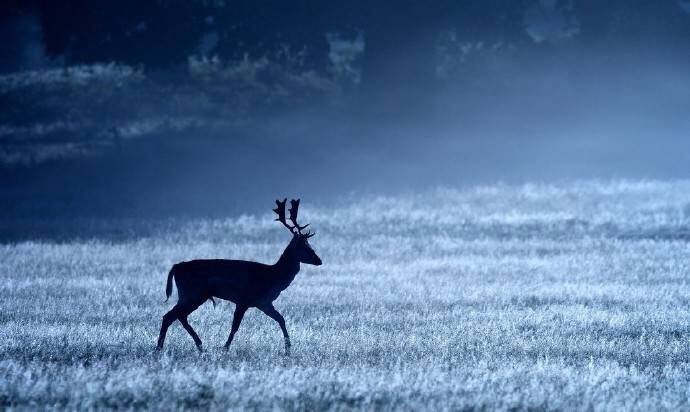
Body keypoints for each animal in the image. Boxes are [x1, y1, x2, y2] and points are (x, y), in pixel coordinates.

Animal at [155, 200, 322, 354]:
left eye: (309, 244)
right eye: (304, 246)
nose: (319, 260)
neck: (273, 277)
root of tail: (176, 267)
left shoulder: (264, 302)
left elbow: (281, 319)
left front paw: (288, 349)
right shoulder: (244, 300)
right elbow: (235, 326)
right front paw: (225, 348)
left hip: (193, 295)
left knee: (177, 316)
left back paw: (193, 345)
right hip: (192, 293)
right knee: (171, 315)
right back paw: (165, 347)